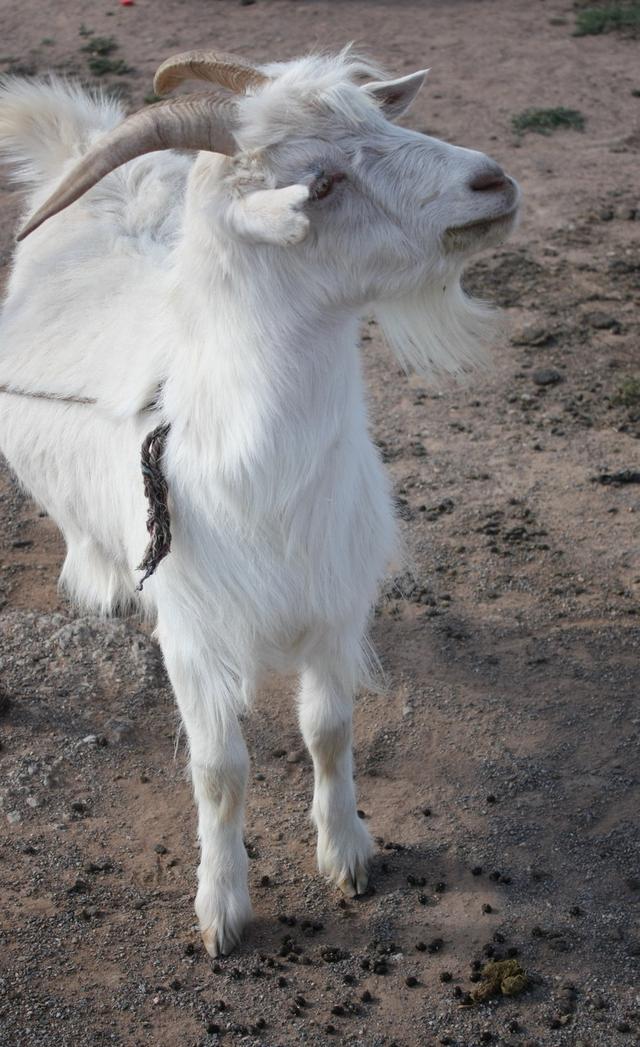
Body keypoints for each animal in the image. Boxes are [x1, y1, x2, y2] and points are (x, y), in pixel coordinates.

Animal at [0, 49, 521, 954]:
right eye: (322, 182)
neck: (262, 477)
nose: (493, 181)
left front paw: (347, 850)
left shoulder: (334, 604)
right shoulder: (192, 629)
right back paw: (97, 577)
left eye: (379, 121)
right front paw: (222, 906)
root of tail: (88, 149)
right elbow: (219, 772)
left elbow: (329, 730)